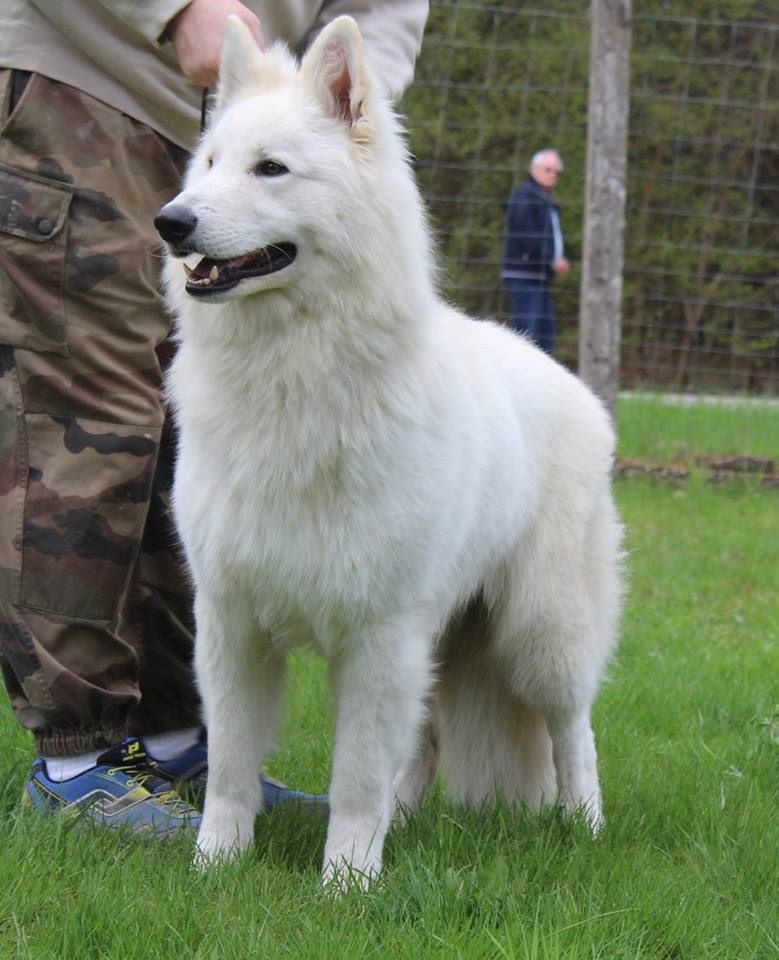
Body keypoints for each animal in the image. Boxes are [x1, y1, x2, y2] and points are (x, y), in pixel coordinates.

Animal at [155, 15, 623, 887]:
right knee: (427, 744)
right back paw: (406, 823)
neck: (294, 379)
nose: (171, 222)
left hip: (538, 636)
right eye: (208, 164)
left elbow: (355, 776)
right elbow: (232, 767)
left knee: (571, 730)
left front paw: (345, 885)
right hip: (444, 641)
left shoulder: (378, 635)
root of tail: (569, 383)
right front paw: (215, 870)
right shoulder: (231, 626)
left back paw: (585, 826)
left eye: (270, 169)